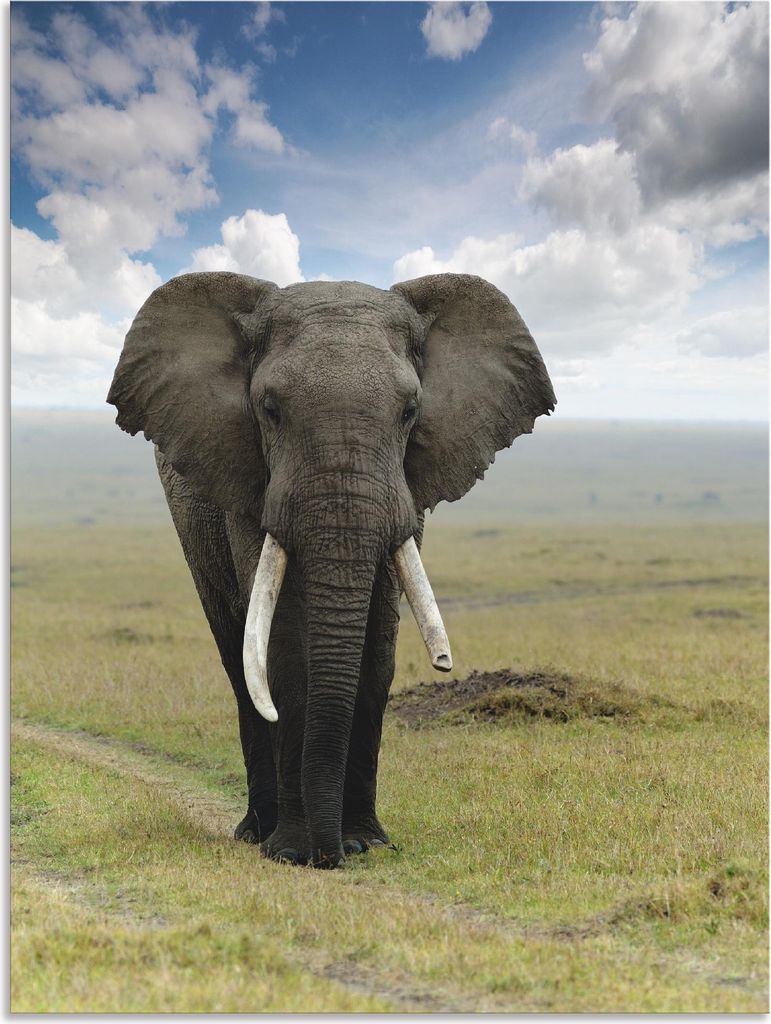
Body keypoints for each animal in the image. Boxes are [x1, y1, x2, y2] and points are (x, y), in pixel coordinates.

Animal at [107, 271, 555, 868]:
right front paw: (292, 852)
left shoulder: (408, 490)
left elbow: (378, 648)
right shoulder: (249, 481)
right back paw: (255, 832)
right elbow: (283, 648)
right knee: (238, 659)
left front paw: (367, 842)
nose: (331, 855)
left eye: (410, 411)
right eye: (269, 409)